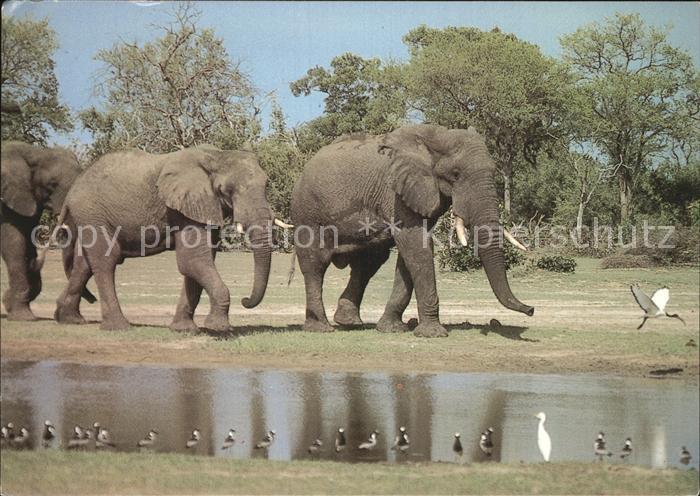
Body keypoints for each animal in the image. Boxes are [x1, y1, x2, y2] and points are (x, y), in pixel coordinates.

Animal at [1, 141, 89, 321]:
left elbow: (28, 243)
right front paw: (23, 317)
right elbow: (14, 245)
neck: (36, 153)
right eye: (52, 185)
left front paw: (9, 302)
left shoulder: (28, 199)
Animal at [54, 145, 285, 332]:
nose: (245, 300)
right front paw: (219, 328)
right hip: (92, 212)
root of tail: (72, 190)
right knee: (106, 260)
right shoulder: (187, 205)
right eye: (227, 189)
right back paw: (119, 327)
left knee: (84, 264)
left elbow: (197, 262)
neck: (216, 156)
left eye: (266, 184)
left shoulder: (203, 206)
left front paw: (184, 330)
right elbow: (193, 260)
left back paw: (69, 319)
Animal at [290, 124, 534, 338]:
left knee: (368, 263)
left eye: (494, 171)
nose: (531, 310)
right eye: (455, 174)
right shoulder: (396, 192)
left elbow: (410, 255)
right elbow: (417, 245)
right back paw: (321, 328)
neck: (436, 136)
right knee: (315, 264)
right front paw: (433, 334)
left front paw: (392, 329)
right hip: (307, 211)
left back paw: (349, 322)